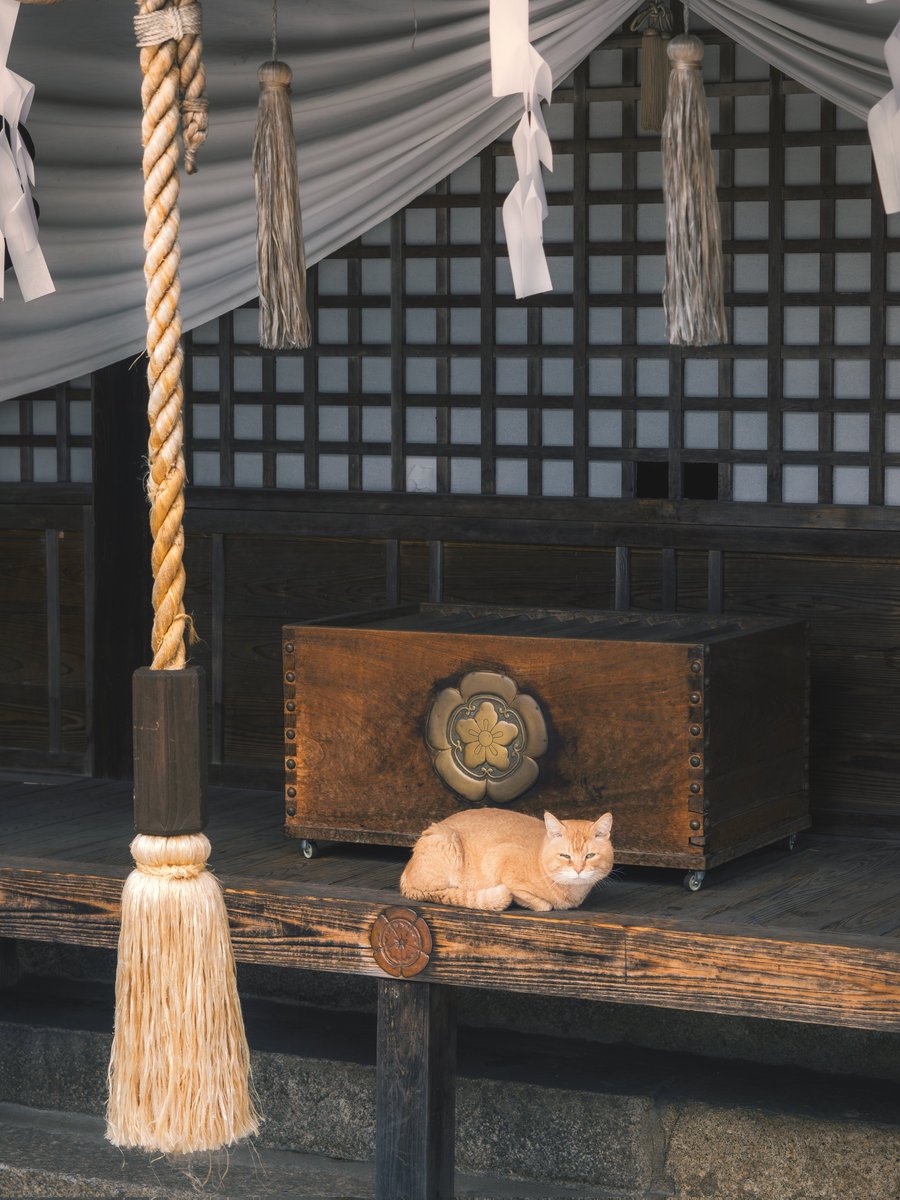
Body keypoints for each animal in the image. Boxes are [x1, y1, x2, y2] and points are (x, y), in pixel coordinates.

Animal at [400, 811, 614, 912]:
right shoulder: (500, 859)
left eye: (589, 856)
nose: (578, 869)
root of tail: (406, 872)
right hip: (446, 841)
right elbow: (542, 904)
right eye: (565, 856)